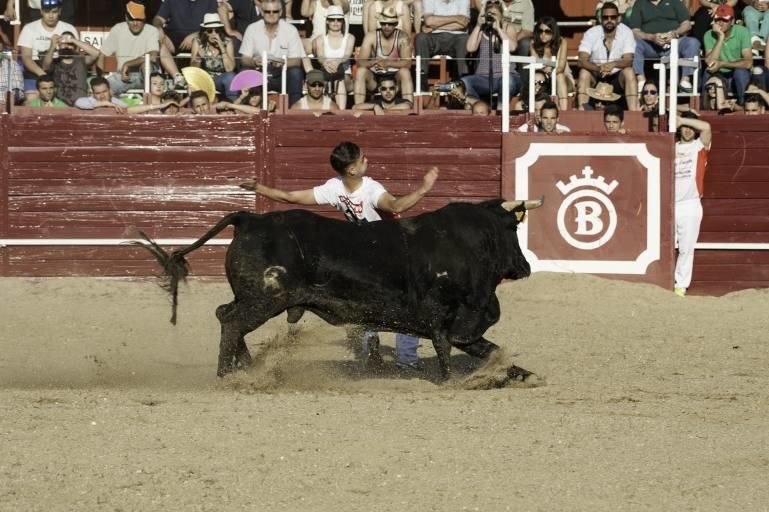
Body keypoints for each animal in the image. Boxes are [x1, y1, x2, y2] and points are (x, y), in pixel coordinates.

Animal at [135, 198, 544, 382]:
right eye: (513, 228)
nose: (525, 268)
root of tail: (250, 218)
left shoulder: (464, 327)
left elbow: (491, 349)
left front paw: (524, 374)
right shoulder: (443, 317)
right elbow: (447, 349)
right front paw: (452, 381)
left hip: (255, 298)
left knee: (227, 317)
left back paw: (247, 369)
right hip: (265, 299)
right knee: (232, 322)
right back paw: (227, 376)